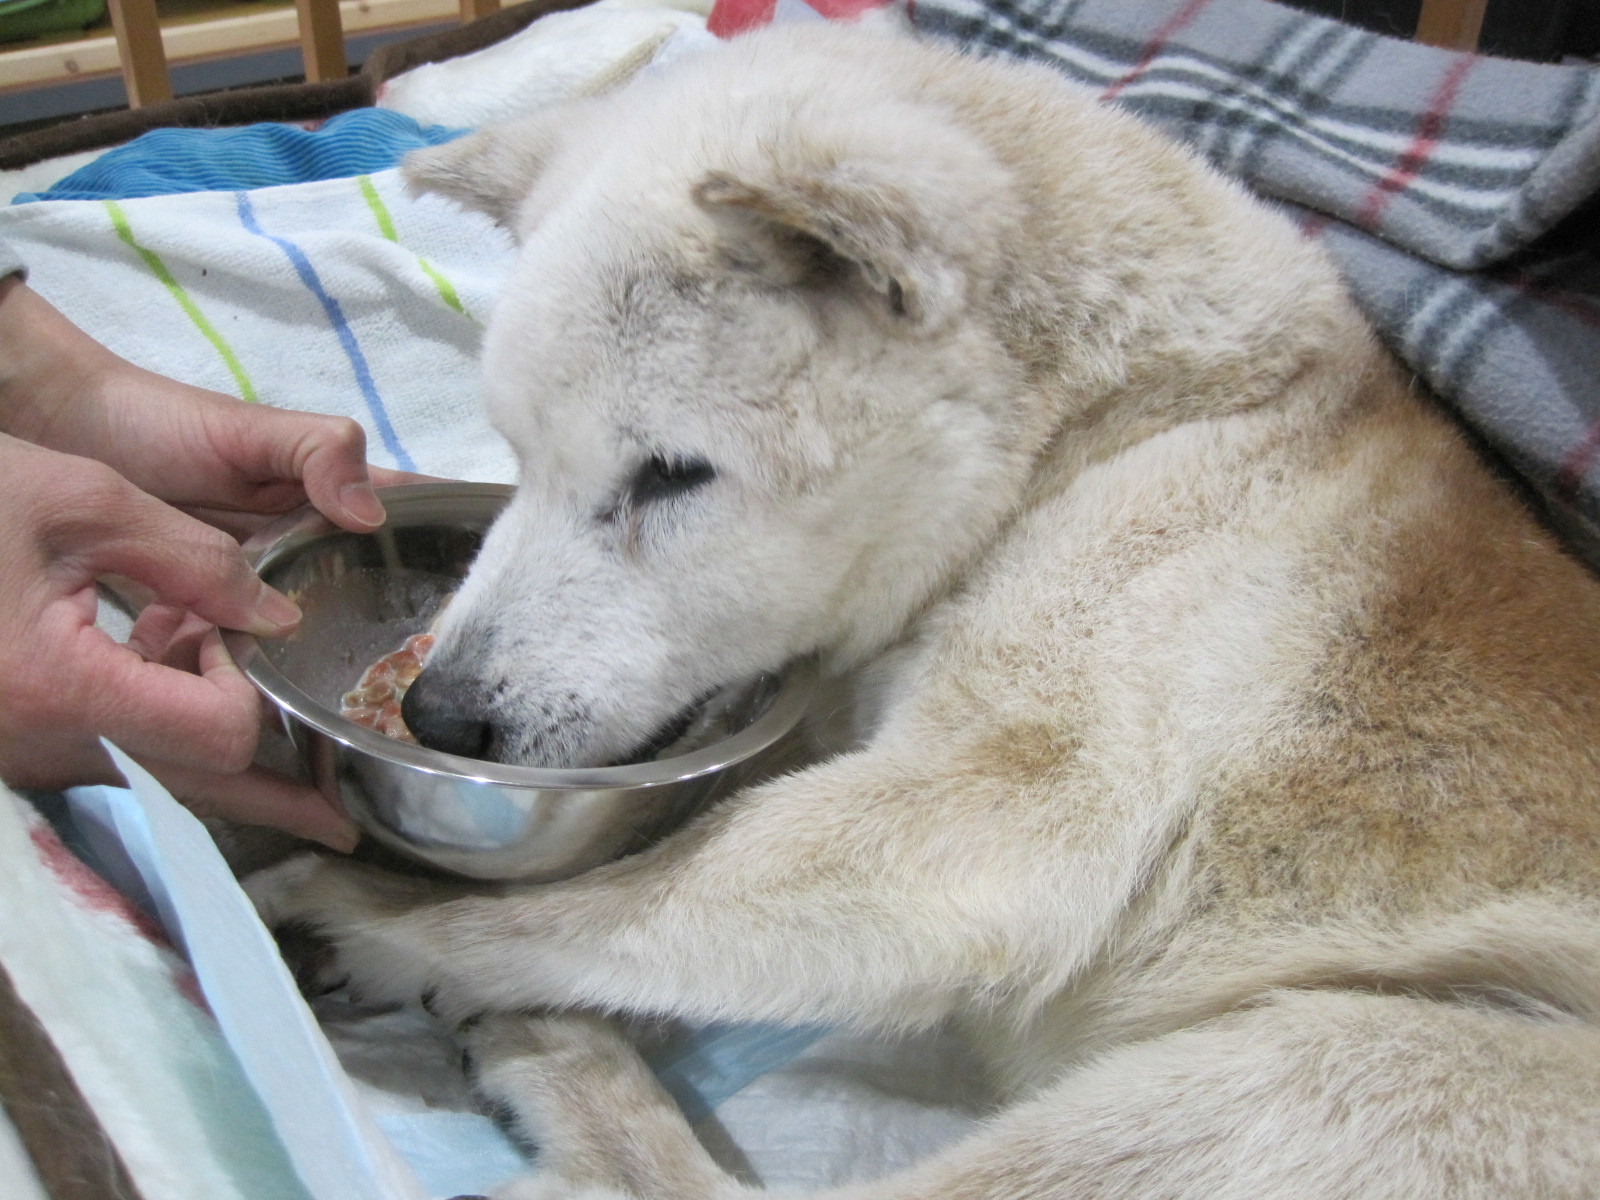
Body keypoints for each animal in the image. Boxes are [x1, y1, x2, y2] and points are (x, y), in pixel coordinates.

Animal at [246, 21, 1600, 1200]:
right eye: (518, 458)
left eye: (671, 475)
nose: (439, 715)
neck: (1112, 432)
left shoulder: (1014, 806)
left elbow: (602, 897)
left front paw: (389, 919)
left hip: (1332, 1074)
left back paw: (562, 1058)